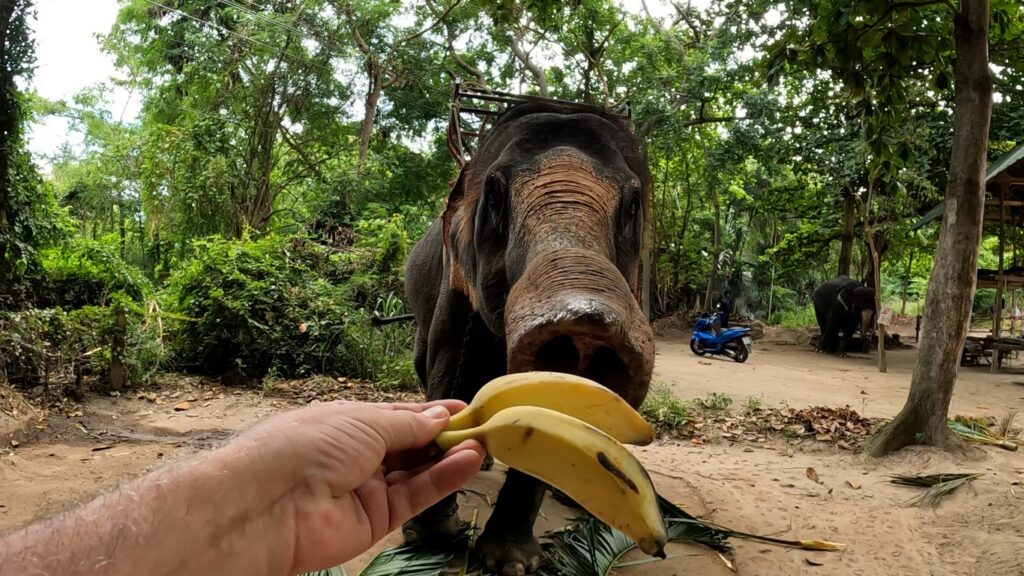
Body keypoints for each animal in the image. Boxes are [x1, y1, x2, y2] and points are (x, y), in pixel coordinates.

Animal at [401, 100, 655, 569]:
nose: (584, 331)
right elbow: (448, 378)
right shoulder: (452, 284)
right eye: (495, 196)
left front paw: (510, 562)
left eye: (633, 205)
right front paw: (430, 536)